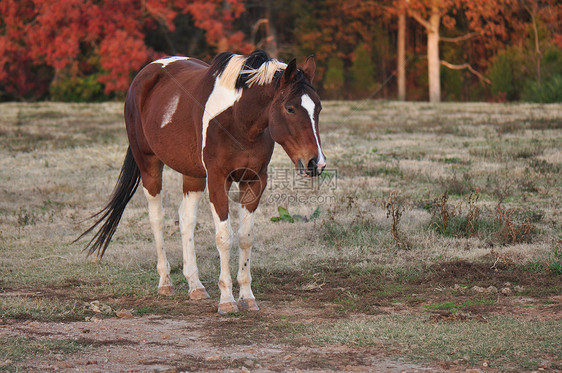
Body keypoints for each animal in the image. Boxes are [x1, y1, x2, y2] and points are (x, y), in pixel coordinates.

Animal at [76, 49, 326, 314]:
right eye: (290, 108)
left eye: (318, 108)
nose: (316, 163)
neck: (237, 120)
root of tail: (145, 74)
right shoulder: (218, 180)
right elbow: (224, 238)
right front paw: (227, 300)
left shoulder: (255, 180)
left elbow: (245, 238)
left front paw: (247, 296)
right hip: (149, 164)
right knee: (157, 218)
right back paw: (165, 282)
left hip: (193, 174)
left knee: (186, 219)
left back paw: (195, 285)